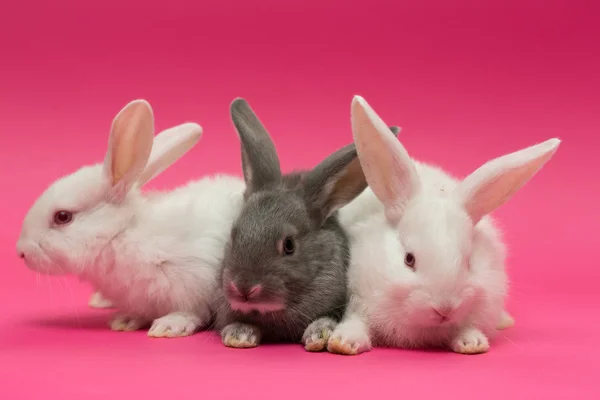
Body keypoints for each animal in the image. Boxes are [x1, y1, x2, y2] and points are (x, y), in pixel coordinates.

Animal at [16, 100, 246, 338]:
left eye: (62, 216)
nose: (21, 251)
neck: (121, 233)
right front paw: (124, 320)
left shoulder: (193, 281)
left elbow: (190, 311)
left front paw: (168, 326)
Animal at [326, 95, 560, 354]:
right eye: (409, 259)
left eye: (468, 262)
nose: (444, 309)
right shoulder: (358, 299)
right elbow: (356, 322)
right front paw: (343, 343)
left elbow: (468, 328)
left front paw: (472, 343)